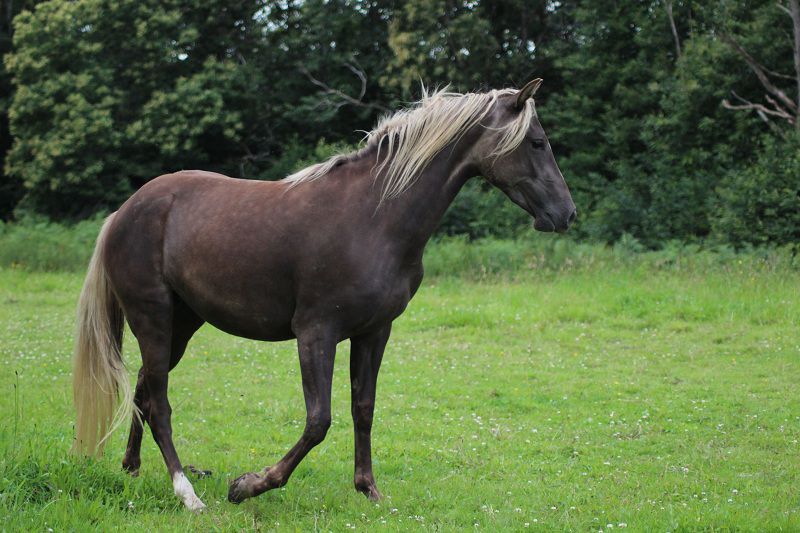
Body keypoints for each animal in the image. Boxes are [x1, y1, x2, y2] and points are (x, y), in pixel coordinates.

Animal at [71, 79, 576, 511]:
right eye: (536, 142)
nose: (566, 213)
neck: (374, 218)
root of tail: (124, 212)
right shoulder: (317, 332)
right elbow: (319, 421)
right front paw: (249, 485)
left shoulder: (374, 332)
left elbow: (363, 408)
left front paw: (369, 489)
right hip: (153, 318)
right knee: (159, 402)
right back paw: (187, 494)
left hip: (182, 324)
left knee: (142, 389)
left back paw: (132, 469)